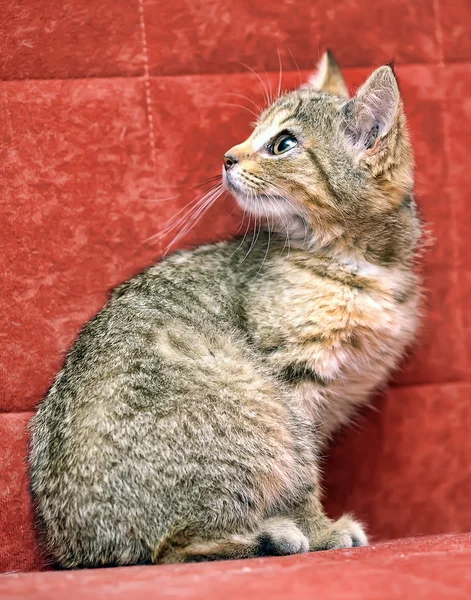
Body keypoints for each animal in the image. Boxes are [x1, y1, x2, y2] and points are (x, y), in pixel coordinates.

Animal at [28, 51, 420, 568]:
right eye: (253, 133)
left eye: (283, 143)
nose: (228, 157)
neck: (357, 261)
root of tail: (80, 549)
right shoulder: (292, 386)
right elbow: (303, 473)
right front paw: (318, 528)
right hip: (255, 410)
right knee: (167, 549)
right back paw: (272, 536)